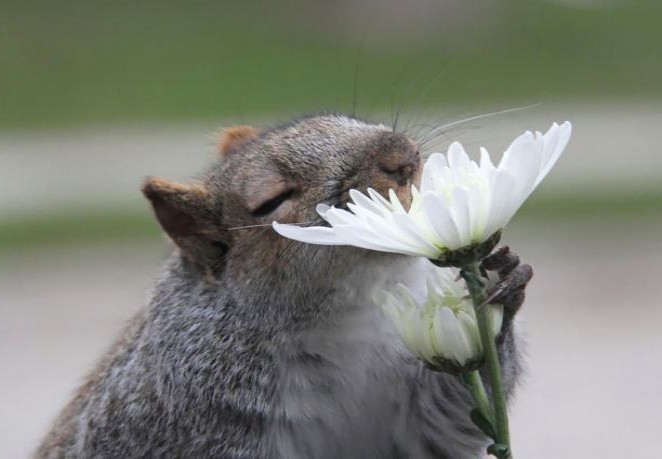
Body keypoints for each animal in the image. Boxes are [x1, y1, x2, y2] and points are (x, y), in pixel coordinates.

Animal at [37, 114, 536, 459]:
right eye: (271, 201)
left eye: (344, 118)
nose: (402, 154)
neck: (346, 315)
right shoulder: (184, 418)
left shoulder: (411, 416)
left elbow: (451, 416)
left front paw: (503, 280)